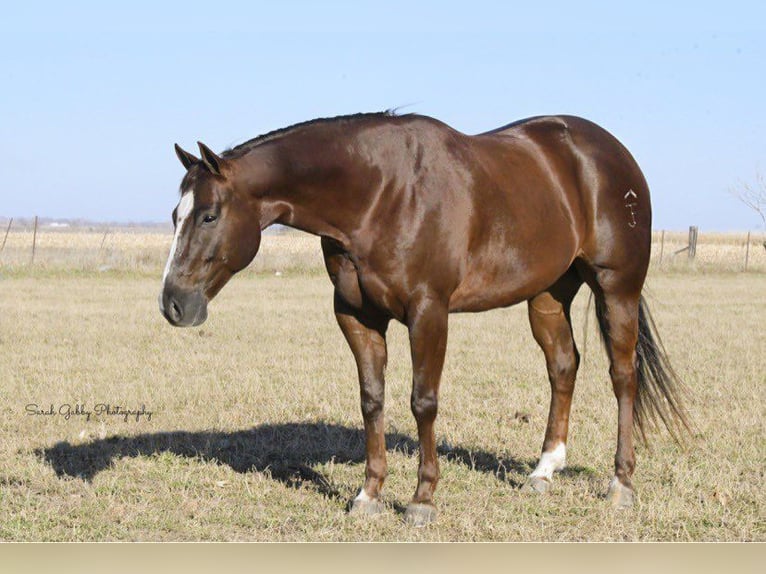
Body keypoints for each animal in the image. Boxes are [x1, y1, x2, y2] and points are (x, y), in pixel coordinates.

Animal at [159, 110, 688, 528]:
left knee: (623, 376)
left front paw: (422, 500)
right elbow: (372, 400)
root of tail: (612, 153)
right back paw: (543, 470)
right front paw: (369, 494)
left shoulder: (428, 311)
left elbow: (423, 402)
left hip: (616, 287)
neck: (380, 194)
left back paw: (621, 484)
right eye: (174, 216)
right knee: (563, 366)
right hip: (547, 295)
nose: (173, 304)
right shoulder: (355, 315)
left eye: (208, 215)